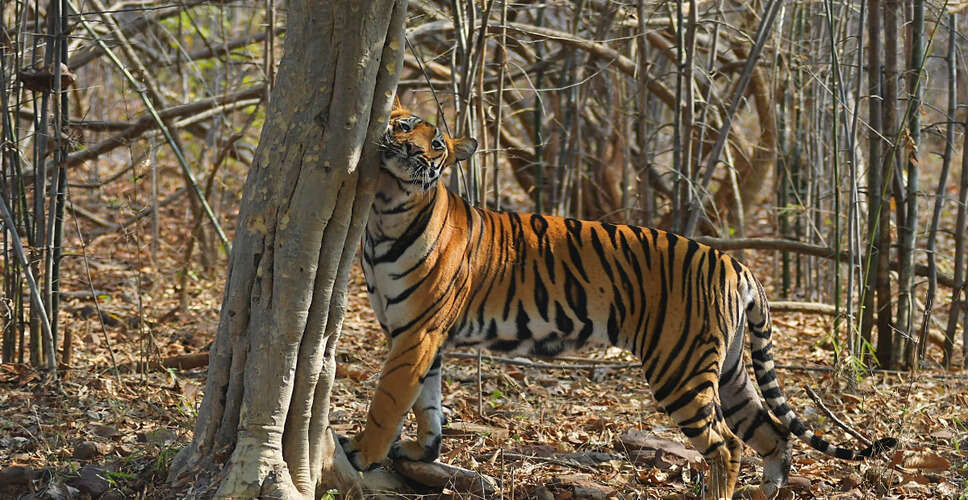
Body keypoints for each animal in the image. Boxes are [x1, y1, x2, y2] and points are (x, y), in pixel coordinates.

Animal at [339, 99, 896, 499]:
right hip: (732, 371)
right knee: (772, 434)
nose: (413, 150)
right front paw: (421, 451)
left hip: (680, 367)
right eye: (405, 125)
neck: (385, 210)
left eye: (436, 144)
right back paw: (767, 493)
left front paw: (363, 453)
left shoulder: (416, 333)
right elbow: (428, 405)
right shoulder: (422, 337)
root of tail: (736, 265)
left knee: (727, 446)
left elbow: (389, 401)